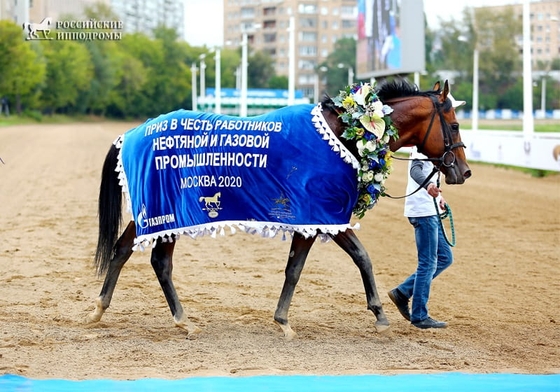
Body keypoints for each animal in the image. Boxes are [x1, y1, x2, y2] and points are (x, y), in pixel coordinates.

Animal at [87, 79, 470, 336]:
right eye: (454, 124)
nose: (463, 171)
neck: (346, 132)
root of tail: (129, 134)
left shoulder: (319, 219)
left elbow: (318, 264)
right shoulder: (320, 216)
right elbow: (333, 263)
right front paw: (374, 315)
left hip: (151, 215)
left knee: (122, 250)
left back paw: (99, 309)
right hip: (168, 213)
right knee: (160, 263)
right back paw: (183, 320)